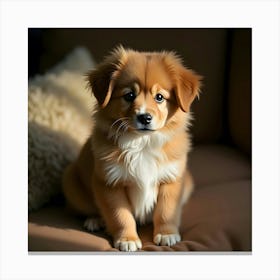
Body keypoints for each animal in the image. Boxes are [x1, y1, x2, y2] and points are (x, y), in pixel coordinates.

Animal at [63, 46, 201, 252]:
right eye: (129, 95)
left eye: (159, 97)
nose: (145, 117)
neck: (142, 143)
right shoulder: (109, 183)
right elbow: (120, 216)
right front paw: (127, 239)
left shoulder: (172, 179)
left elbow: (166, 211)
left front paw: (166, 234)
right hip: (71, 181)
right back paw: (95, 220)